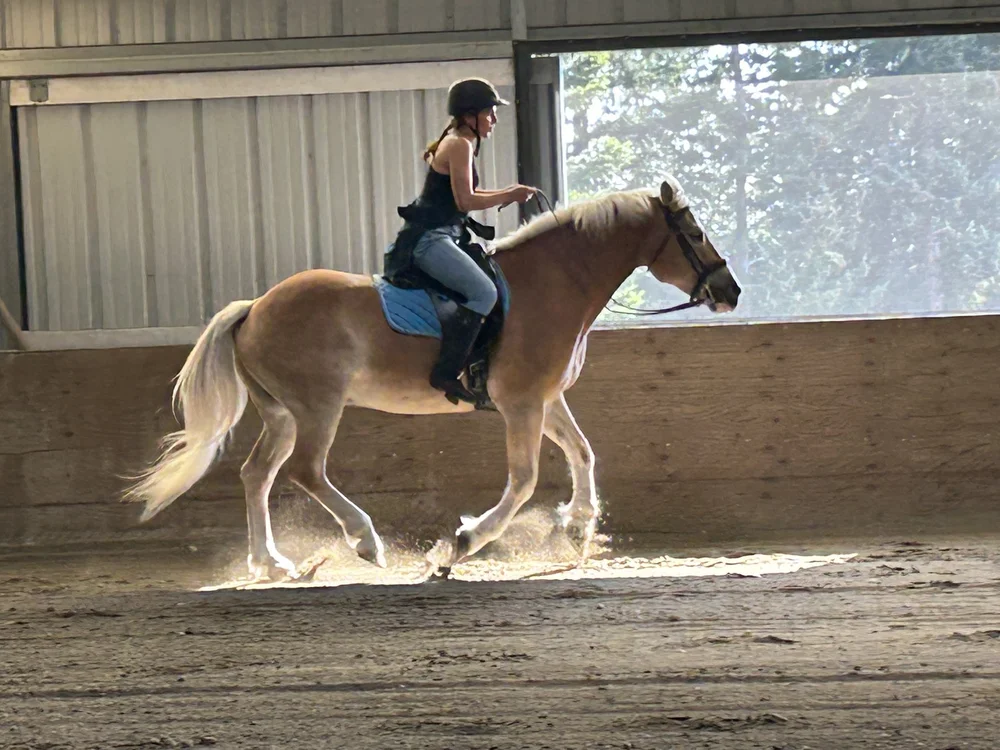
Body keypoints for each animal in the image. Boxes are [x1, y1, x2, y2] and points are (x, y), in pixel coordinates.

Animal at [124, 174, 741, 581]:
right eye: (694, 232)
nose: (730, 292)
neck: (553, 282)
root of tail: (255, 307)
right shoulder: (521, 405)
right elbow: (523, 480)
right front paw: (463, 543)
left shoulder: (544, 400)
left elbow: (583, 453)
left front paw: (578, 526)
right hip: (316, 407)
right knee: (304, 471)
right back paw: (365, 542)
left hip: (280, 413)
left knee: (257, 474)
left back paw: (272, 564)